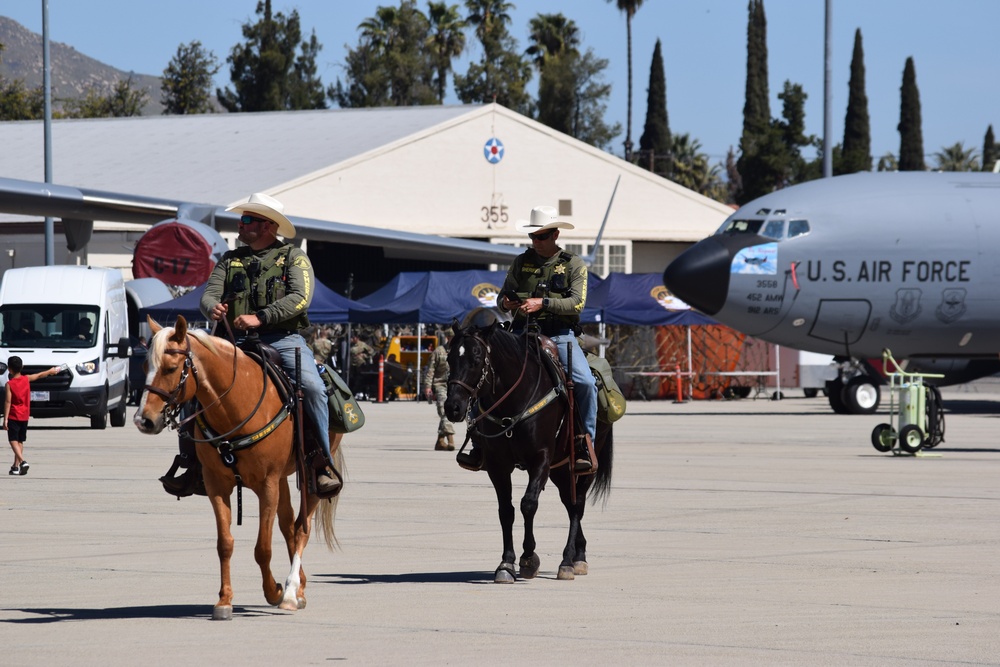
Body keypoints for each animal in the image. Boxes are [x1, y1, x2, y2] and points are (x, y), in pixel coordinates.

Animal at [135, 318, 342, 620]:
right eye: (144, 367)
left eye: (171, 368)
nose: (144, 420)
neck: (235, 405)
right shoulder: (217, 485)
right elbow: (225, 544)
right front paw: (224, 600)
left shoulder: (267, 484)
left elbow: (263, 548)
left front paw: (274, 591)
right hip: (282, 479)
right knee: (288, 526)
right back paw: (299, 587)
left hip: (310, 478)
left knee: (301, 528)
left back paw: (292, 591)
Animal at [444, 320, 612, 580]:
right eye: (449, 358)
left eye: (477, 357)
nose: (453, 407)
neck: (514, 399)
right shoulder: (498, 465)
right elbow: (506, 510)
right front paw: (506, 563)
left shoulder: (540, 458)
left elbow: (528, 504)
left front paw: (528, 558)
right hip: (559, 469)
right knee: (569, 501)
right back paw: (579, 554)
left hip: (582, 466)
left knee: (577, 505)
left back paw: (568, 561)